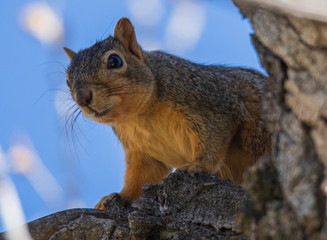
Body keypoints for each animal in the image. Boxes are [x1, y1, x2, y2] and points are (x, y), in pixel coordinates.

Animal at [63, 17, 272, 210]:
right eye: (67, 79)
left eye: (115, 61)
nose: (82, 98)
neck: (140, 116)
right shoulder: (142, 152)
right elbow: (141, 177)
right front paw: (118, 196)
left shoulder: (213, 106)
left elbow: (214, 138)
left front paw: (198, 165)